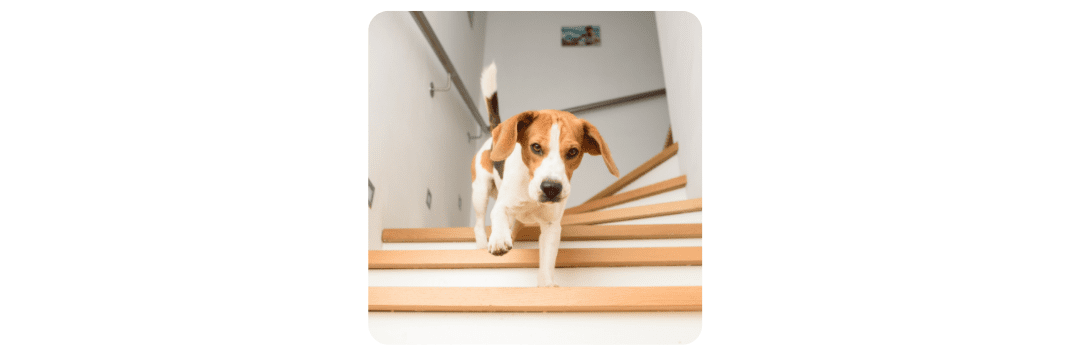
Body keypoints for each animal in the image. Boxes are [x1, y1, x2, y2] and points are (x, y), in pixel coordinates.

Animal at [472, 62, 622, 285]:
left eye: (573, 152)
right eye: (535, 147)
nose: (551, 188)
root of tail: (494, 135)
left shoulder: (551, 227)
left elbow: (547, 264)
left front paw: (547, 285)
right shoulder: (503, 205)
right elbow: (497, 214)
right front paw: (498, 239)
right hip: (480, 191)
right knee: (479, 222)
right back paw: (483, 243)